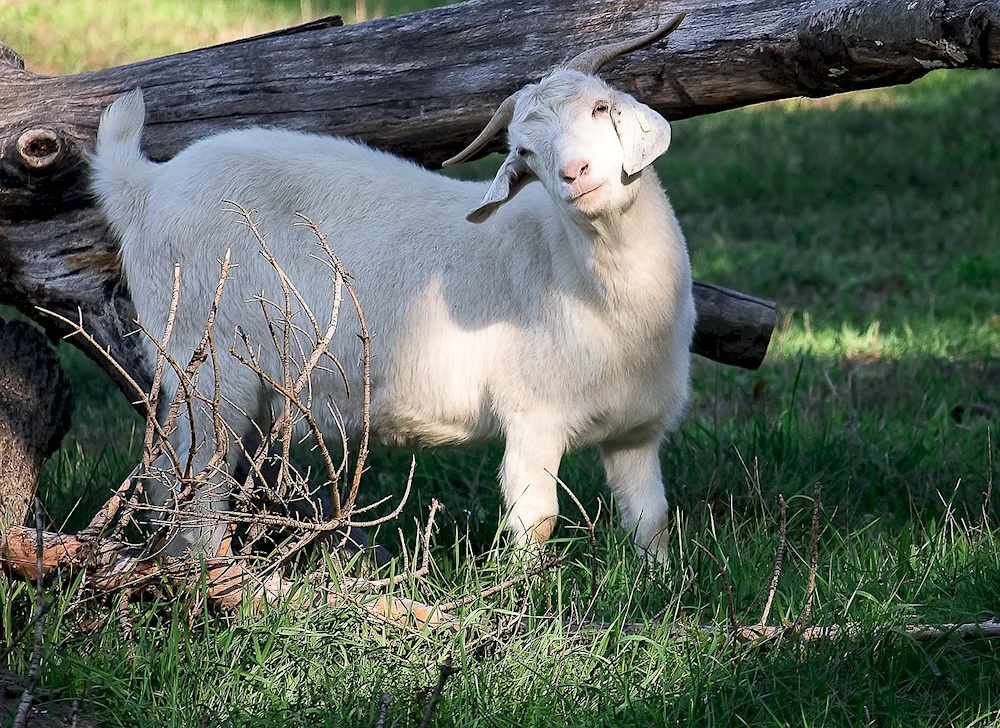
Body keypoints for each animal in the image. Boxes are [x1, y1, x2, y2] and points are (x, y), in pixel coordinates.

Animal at [92, 18, 696, 564]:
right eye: (523, 151)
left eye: (601, 108)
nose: (575, 173)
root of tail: (146, 186)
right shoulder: (533, 416)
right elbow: (536, 524)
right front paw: (525, 601)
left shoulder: (637, 431)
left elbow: (652, 522)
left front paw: (661, 588)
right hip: (210, 365)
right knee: (199, 490)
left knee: (166, 477)